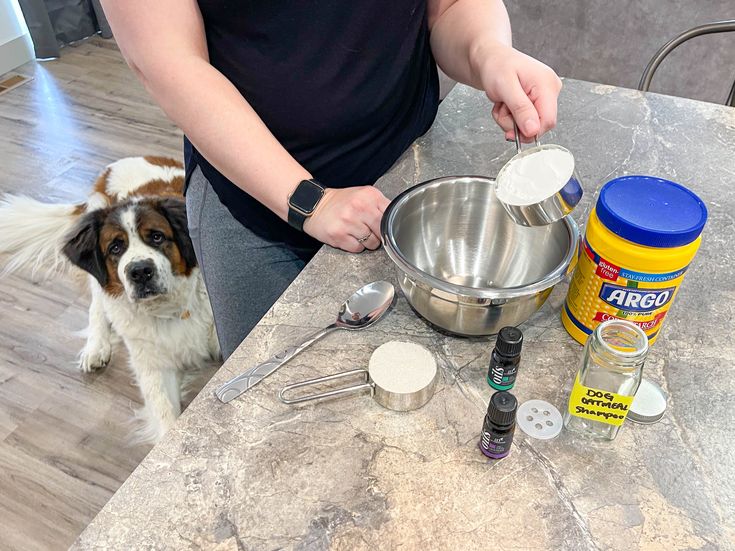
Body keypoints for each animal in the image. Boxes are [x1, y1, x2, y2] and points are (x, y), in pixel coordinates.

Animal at [0, 156, 220, 444]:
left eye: (157, 236)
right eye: (116, 248)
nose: (140, 271)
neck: (171, 308)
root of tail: (114, 166)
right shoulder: (152, 366)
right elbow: (165, 413)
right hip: (99, 278)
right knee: (97, 306)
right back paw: (96, 347)